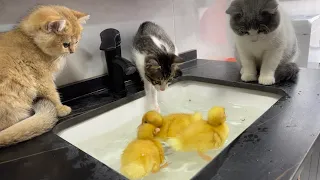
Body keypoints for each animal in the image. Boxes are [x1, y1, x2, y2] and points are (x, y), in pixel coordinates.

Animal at [0, 5, 89, 147]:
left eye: (76, 42)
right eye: (66, 44)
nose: (73, 51)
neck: (32, 42)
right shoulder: (43, 78)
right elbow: (53, 94)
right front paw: (61, 108)